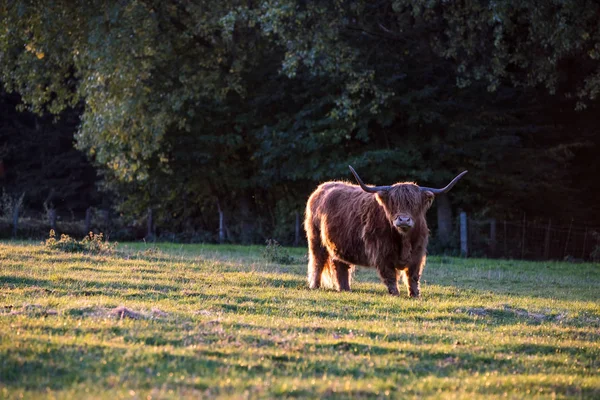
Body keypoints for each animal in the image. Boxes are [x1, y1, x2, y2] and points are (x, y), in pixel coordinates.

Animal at [304, 166, 468, 296]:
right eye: (393, 203)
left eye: (415, 204)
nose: (403, 220)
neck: (404, 240)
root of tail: (322, 188)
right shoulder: (382, 253)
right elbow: (390, 276)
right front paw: (395, 293)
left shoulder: (417, 254)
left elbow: (413, 276)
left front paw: (415, 295)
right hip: (315, 240)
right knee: (318, 262)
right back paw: (315, 286)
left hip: (339, 245)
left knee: (340, 266)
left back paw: (345, 289)